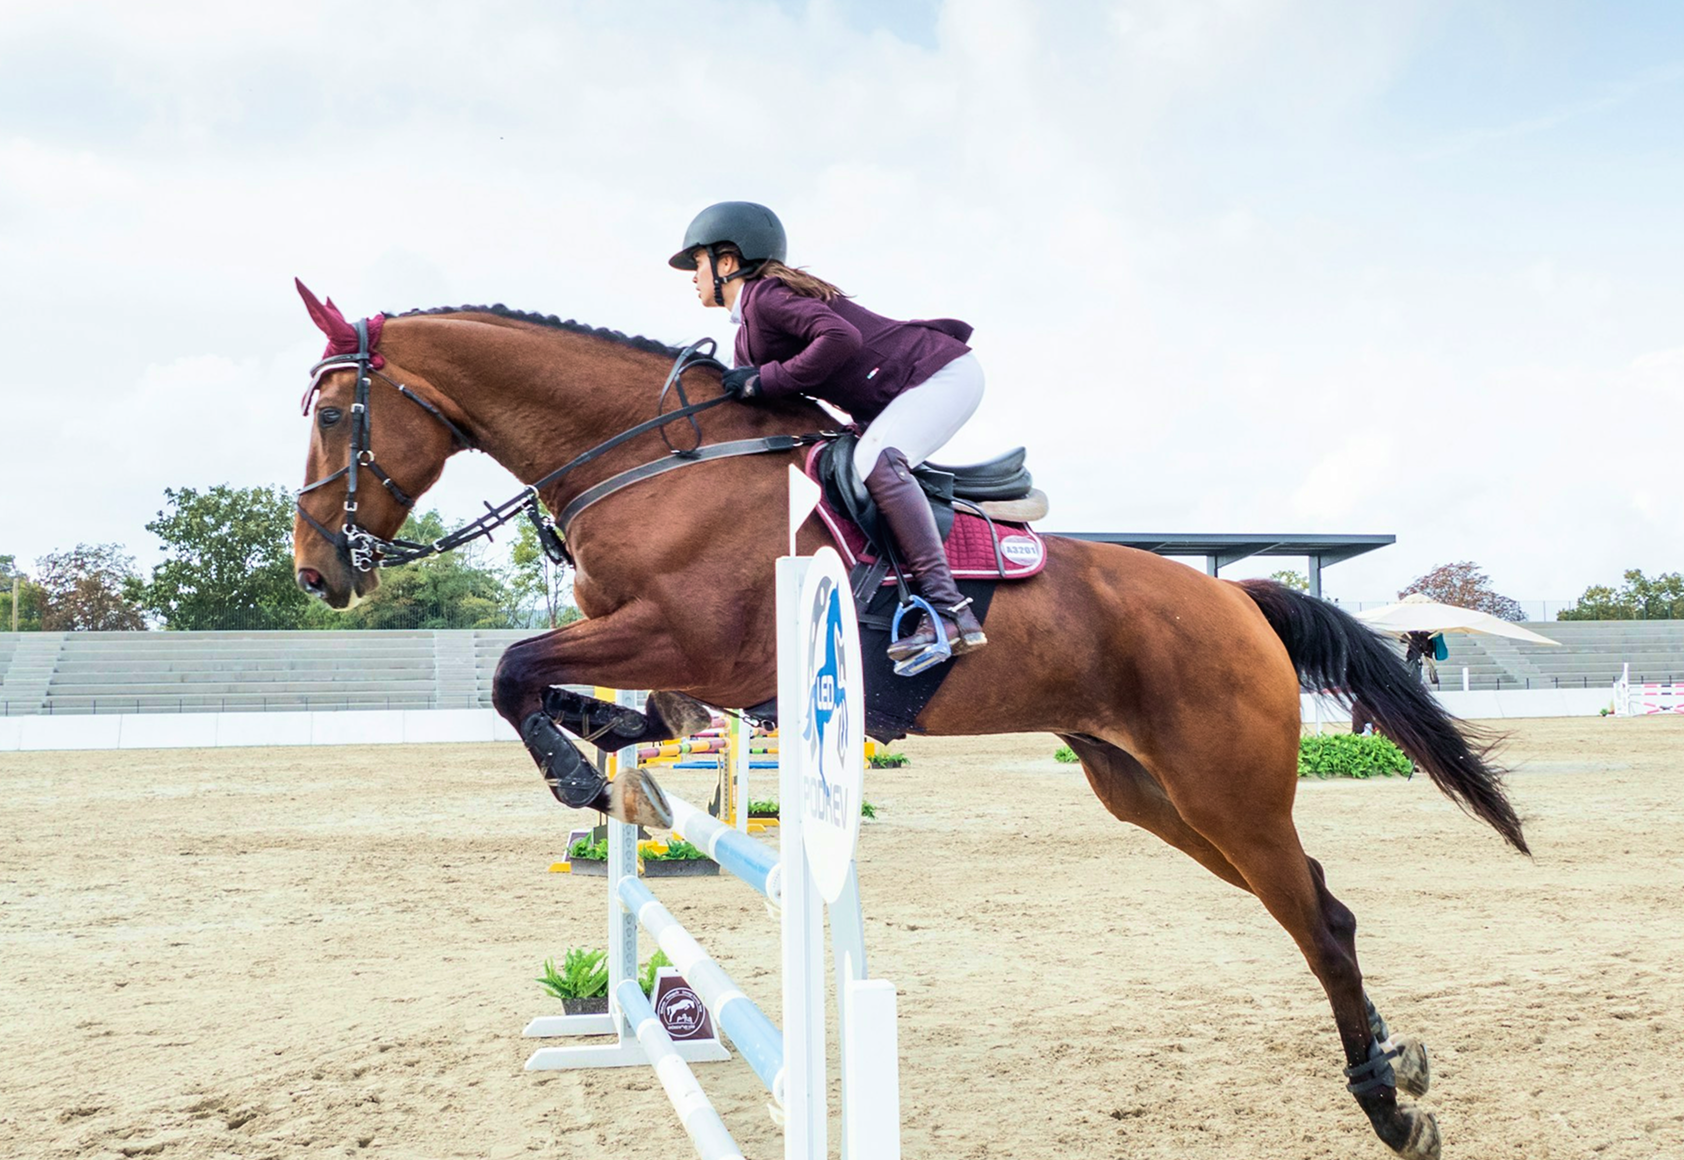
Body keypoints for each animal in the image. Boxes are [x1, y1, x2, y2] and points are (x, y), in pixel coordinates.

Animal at [290, 286, 1528, 1160]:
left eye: (339, 411)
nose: (316, 571)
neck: (653, 460)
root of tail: (1236, 595)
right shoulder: (670, 655)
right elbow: (590, 695)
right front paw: (610, 756)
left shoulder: (698, 641)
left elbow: (515, 672)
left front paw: (585, 777)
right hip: (1150, 793)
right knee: (1318, 900)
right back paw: (1398, 1064)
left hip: (1225, 787)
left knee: (1319, 921)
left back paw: (1386, 1105)